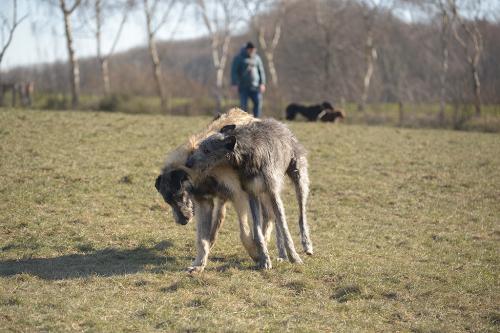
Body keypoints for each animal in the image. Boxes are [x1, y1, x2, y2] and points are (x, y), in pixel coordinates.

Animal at [187, 118, 312, 266]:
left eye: (207, 150)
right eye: (200, 147)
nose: (188, 163)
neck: (250, 153)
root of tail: (282, 125)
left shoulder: (272, 190)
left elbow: (285, 227)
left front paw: (294, 257)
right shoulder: (252, 192)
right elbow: (258, 232)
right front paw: (264, 258)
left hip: (298, 178)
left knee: (301, 214)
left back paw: (306, 245)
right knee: (275, 219)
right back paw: (282, 255)